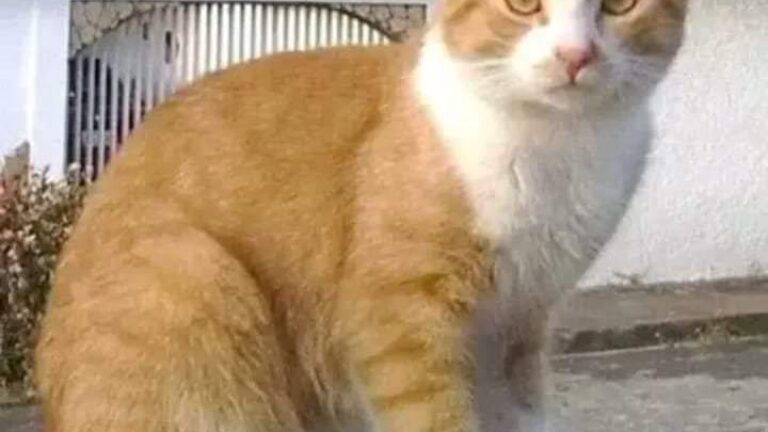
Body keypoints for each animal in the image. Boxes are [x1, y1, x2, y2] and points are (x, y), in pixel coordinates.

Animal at [35, 0, 688, 431]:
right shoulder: (398, 324)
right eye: (523, 4)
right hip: (191, 274)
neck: (557, 147)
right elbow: (433, 416)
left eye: (619, 3)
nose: (576, 55)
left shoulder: (521, 321)